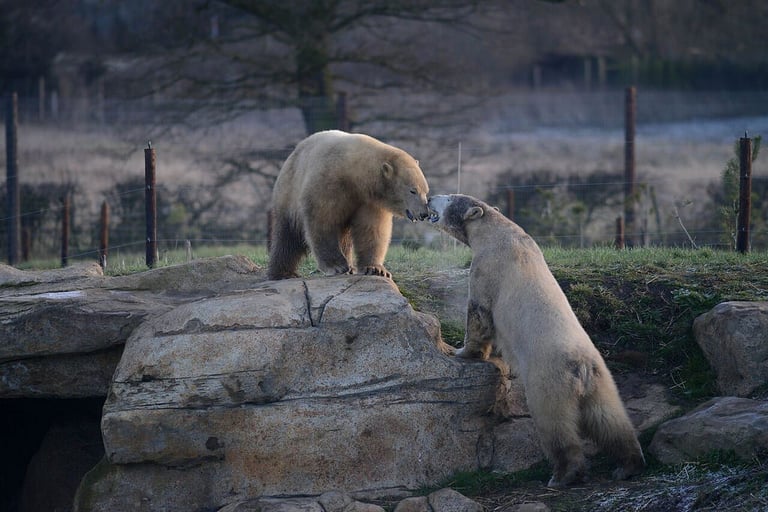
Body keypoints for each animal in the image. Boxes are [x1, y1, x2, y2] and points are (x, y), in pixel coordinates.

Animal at [268, 129, 428, 280]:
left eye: (426, 191)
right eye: (413, 191)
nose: (424, 213)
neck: (354, 171)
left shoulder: (368, 200)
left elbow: (371, 229)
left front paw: (376, 269)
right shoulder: (328, 182)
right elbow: (322, 222)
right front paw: (337, 266)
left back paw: (350, 267)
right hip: (289, 191)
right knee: (288, 235)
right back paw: (283, 273)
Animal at [426, 194, 640, 486]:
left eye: (448, 198)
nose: (430, 197)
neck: (499, 231)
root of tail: (582, 366)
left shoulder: (486, 268)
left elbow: (480, 314)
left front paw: (461, 351)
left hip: (549, 380)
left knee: (554, 423)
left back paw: (563, 475)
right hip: (602, 379)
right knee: (608, 418)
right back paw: (627, 464)